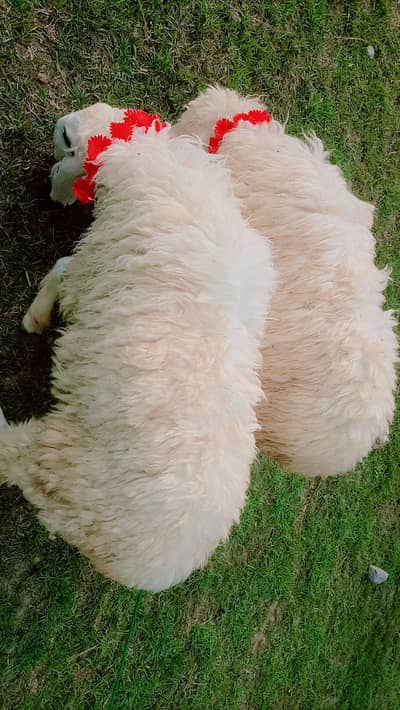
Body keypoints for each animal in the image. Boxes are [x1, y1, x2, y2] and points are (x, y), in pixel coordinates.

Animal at [0, 120, 275, 591]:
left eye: (64, 144)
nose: (48, 186)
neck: (145, 159)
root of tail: (154, 567)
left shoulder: (92, 270)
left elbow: (62, 268)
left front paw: (36, 315)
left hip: (63, 458)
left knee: (11, 458)